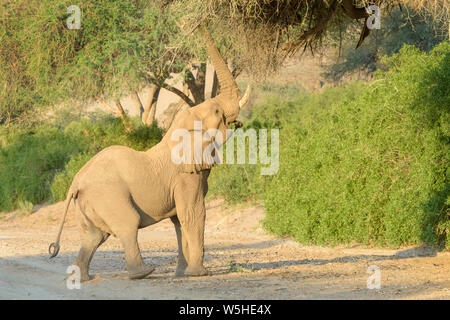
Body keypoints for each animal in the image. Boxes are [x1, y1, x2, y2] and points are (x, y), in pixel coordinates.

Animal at [50, 23, 253, 282]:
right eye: (217, 112)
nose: (196, 23)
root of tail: (75, 183)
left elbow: (179, 221)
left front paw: (181, 275)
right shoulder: (185, 177)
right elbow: (193, 214)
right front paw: (199, 274)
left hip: (88, 203)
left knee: (94, 237)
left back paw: (81, 279)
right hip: (108, 195)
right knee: (127, 224)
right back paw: (143, 273)